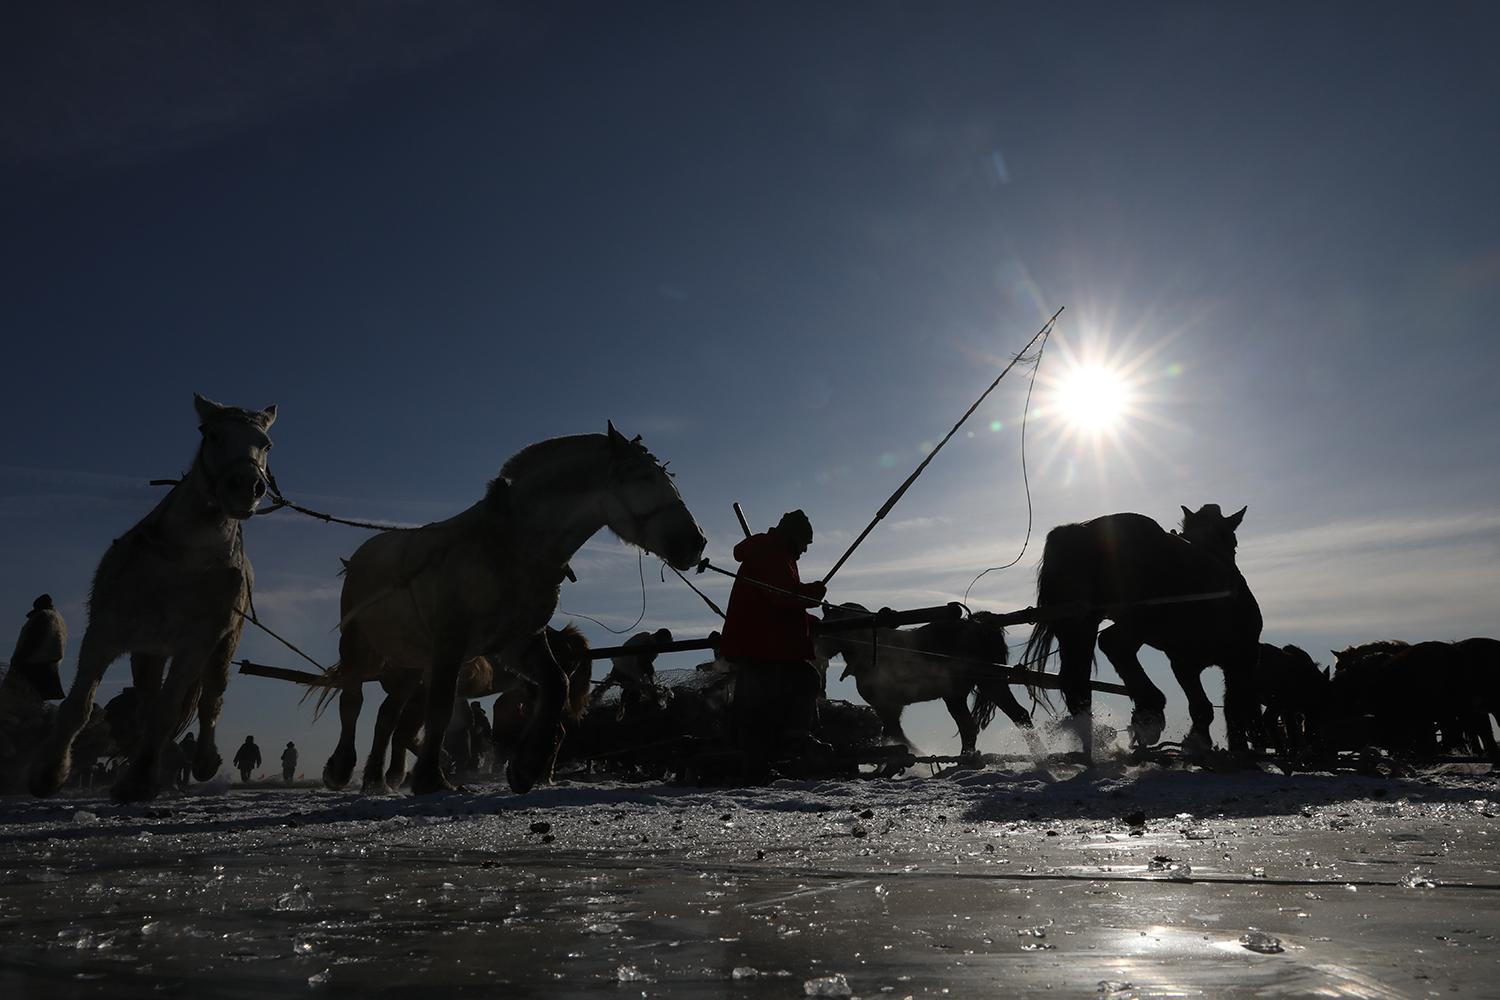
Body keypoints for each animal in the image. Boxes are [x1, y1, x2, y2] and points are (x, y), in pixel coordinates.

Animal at [29, 395, 279, 803]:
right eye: (212, 435)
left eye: (266, 444)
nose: (247, 486)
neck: (183, 562)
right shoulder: (104, 634)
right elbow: (79, 706)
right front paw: (48, 774)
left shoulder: (196, 645)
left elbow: (169, 708)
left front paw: (141, 780)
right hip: (149, 652)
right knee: (146, 701)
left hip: (222, 646)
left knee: (210, 698)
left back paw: (202, 760)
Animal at [319, 425, 705, 797]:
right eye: (642, 477)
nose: (696, 542)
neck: (509, 547)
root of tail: (360, 556)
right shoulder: (450, 642)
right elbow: (440, 706)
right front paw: (431, 778)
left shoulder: (518, 642)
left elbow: (557, 685)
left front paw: (525, 768)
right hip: (359, 646)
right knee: (352, 699)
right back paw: (341, 768)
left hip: (409, 662)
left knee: (387, 715)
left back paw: (375, 778)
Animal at [816, 602, 1038, 758]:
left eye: (824, 627)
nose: (818, 654)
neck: (873, 646)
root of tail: (978, 626)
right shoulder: (893, 707)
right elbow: (894, 735)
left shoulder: (885, 705)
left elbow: (894, 736)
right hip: (981, 688)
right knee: (1012, 717)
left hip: (970, 690)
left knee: (974, 726)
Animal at [1020, 503, 1266, 761]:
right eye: (1235, 543)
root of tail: (1081, 531)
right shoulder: (1240, 659)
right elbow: (1234, 708)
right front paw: (1234, 748)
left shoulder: (1184, 663)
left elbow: (1205, 707)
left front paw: (1198, 741)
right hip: (1139, 619)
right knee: (1112, 644)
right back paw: (1149, 709)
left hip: (1080, 625)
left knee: (1076, 680)